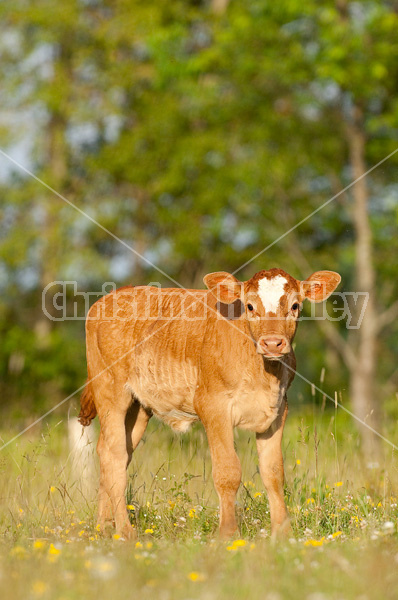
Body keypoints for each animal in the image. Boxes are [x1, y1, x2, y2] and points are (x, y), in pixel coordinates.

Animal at [79, 268, 340, 540]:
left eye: (295, 305)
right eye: (249, 306)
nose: (272, 343)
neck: (263, 372)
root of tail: (114, 294)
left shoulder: (278, 410)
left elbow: (274, 472)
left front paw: (283, 532)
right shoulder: (213, 406)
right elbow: (228, 471)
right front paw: (228, 532)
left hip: (139, 406)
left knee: (111, 451)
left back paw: (103, 526)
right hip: (110, 391)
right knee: (115, 454)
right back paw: (124, 531)